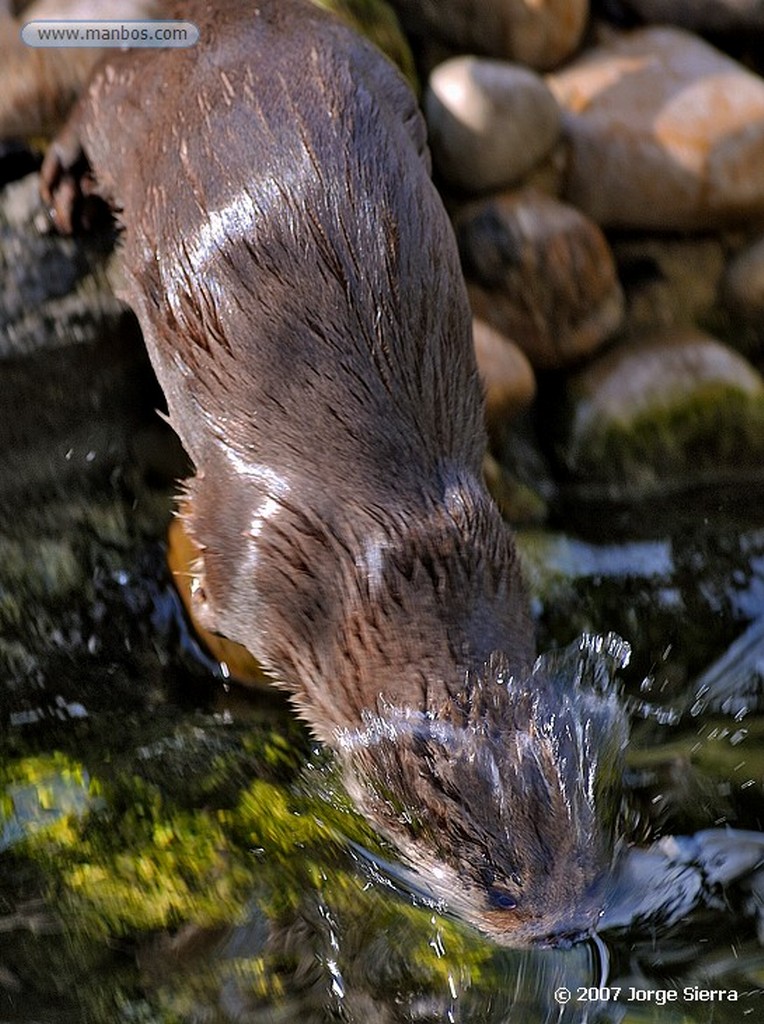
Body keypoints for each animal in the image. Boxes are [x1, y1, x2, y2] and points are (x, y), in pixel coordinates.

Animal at [40, 0, 626, 942]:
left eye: (580, 859)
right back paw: (60, 188)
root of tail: (236, 17)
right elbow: (202, 564)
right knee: (91, 96)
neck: (389, 570)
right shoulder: (253, 548)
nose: (562, 928)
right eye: (497, 882)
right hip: (141, 105)